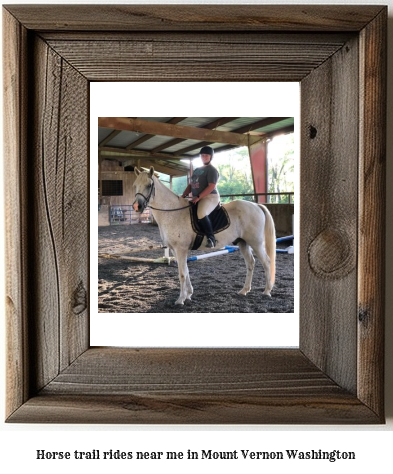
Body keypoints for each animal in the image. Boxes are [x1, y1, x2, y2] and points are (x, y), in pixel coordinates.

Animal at [133, 168, 274, 308]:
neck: (172, 211)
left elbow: (182, 273)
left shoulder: (181, 249)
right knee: (250, 263)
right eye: (135, 185)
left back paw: (267, 291)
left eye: (149, 185)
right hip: (243, 243)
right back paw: (244, 290)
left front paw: (181, 299)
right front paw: (189, 294)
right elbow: (186, 271)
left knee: (267, 262)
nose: (136, 206)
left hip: (256, 243)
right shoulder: (174, 249)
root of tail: (256, 206)